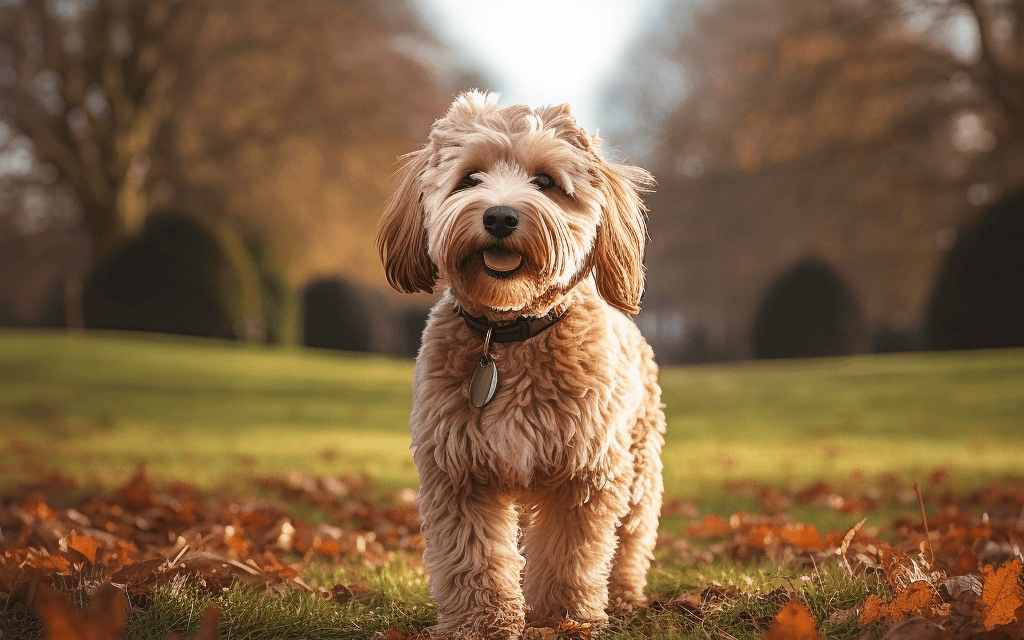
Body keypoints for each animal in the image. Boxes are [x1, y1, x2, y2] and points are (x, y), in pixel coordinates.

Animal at [376, 91, 663, 638]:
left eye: (546, 182)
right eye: (470, 177)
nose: (500, 217)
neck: (507, 333)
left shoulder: (584, 473)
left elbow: (571, 554)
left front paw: (562, 617)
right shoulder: (458, 470)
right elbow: (473, 556)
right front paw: (482, 622)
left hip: (637, 469)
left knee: (632, 536)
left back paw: (624, 595)